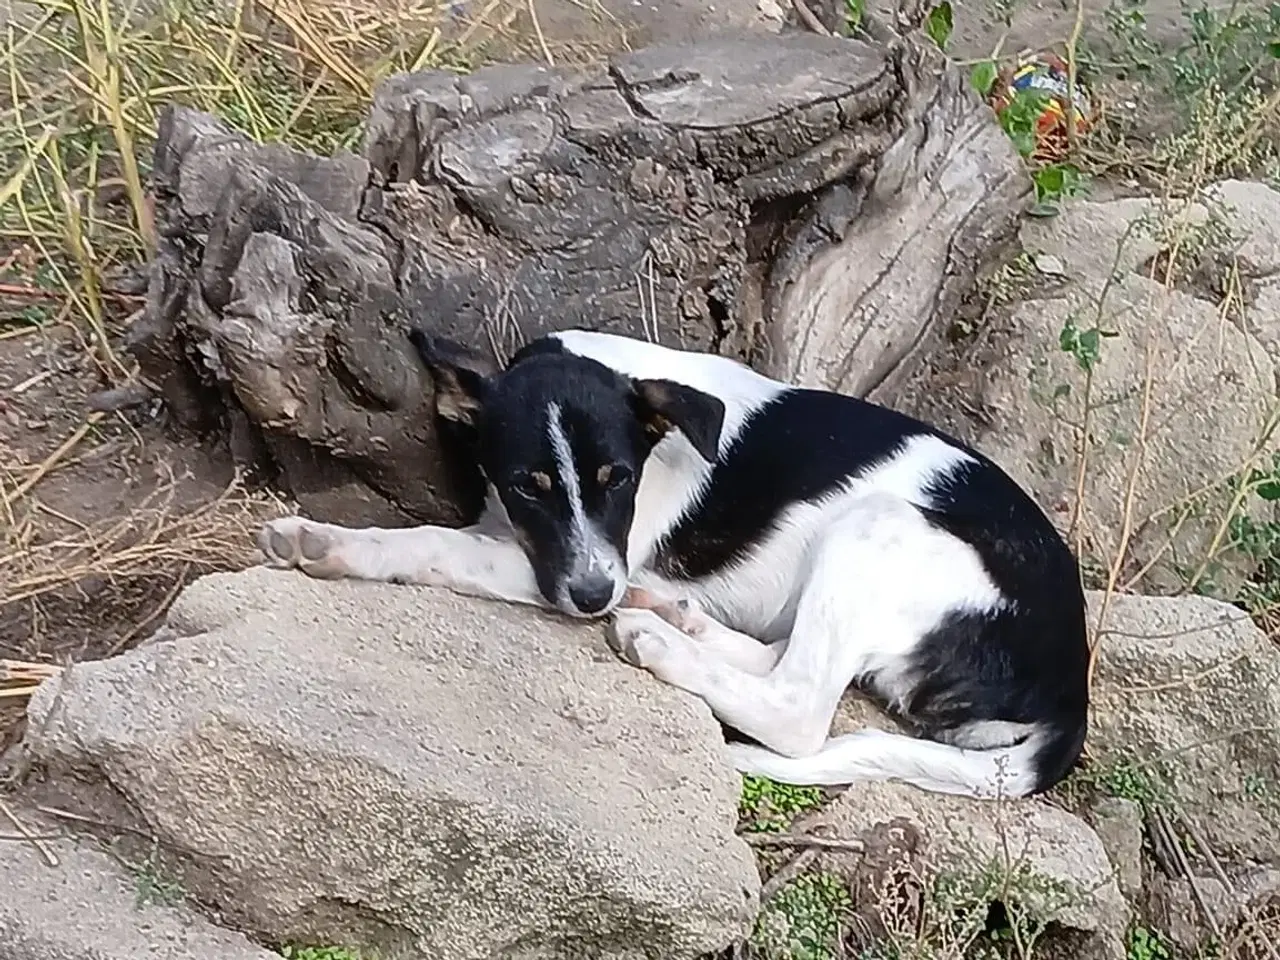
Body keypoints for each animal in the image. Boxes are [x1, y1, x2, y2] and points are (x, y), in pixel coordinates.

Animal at [259, 330, 1090, 798]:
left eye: (618, 479)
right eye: (529, 484)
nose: (596, 598)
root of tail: (1070, 691)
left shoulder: (591, 560)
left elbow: (441, 544)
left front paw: (326, 542)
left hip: (877, 529)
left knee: (797, 709)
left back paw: (655, 640)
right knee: (777, 659)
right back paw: (672, 618)